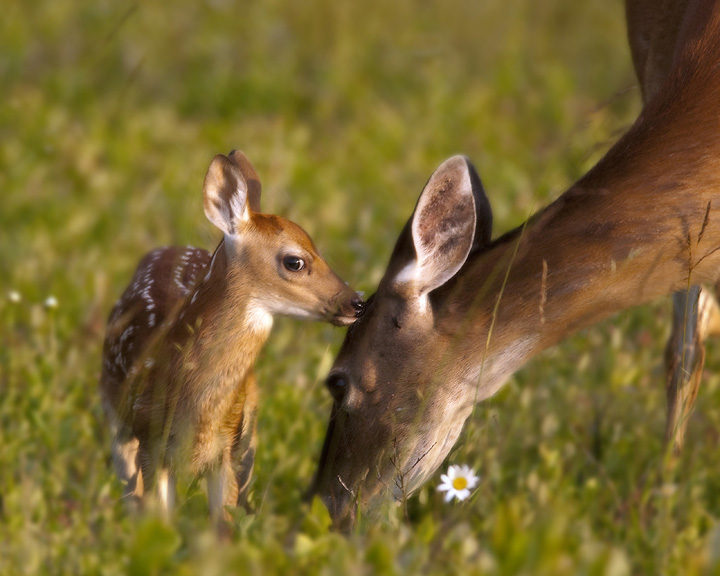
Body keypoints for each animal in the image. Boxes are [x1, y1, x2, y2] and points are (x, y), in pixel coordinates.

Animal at [100, 149, 362, 523]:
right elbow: (159, 522)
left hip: (248, 433)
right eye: (295, 261)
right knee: (131, 495)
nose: (357, 301)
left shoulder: (226, 447)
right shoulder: (149, 440)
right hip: (117, 421)